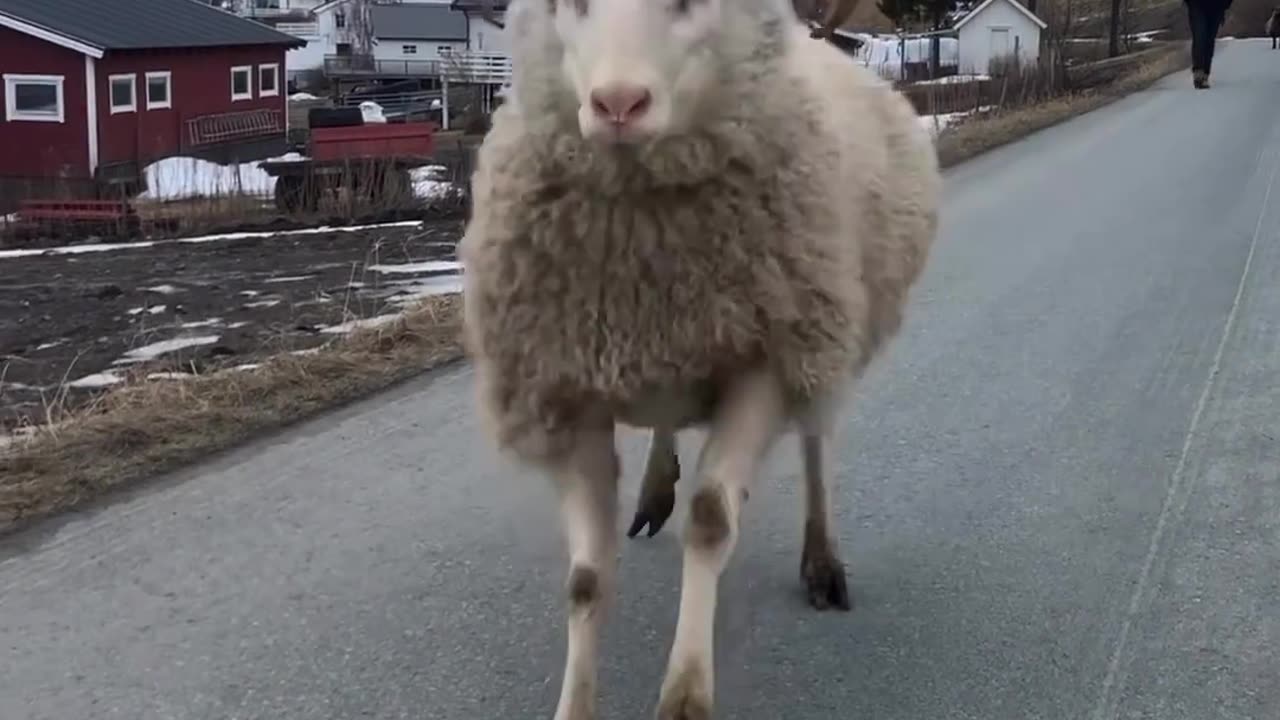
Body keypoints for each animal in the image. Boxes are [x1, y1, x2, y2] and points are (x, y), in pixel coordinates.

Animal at [460, 0, 942, 712]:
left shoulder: (764, 364)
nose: (617, 103)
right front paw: (575, 704)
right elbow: (585, 580)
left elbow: (713, 520)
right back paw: (657, 486)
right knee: (671, 421)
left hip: (823, 332)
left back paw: (822, 560)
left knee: (817, 442)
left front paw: (685, 695)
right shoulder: (567, 384)